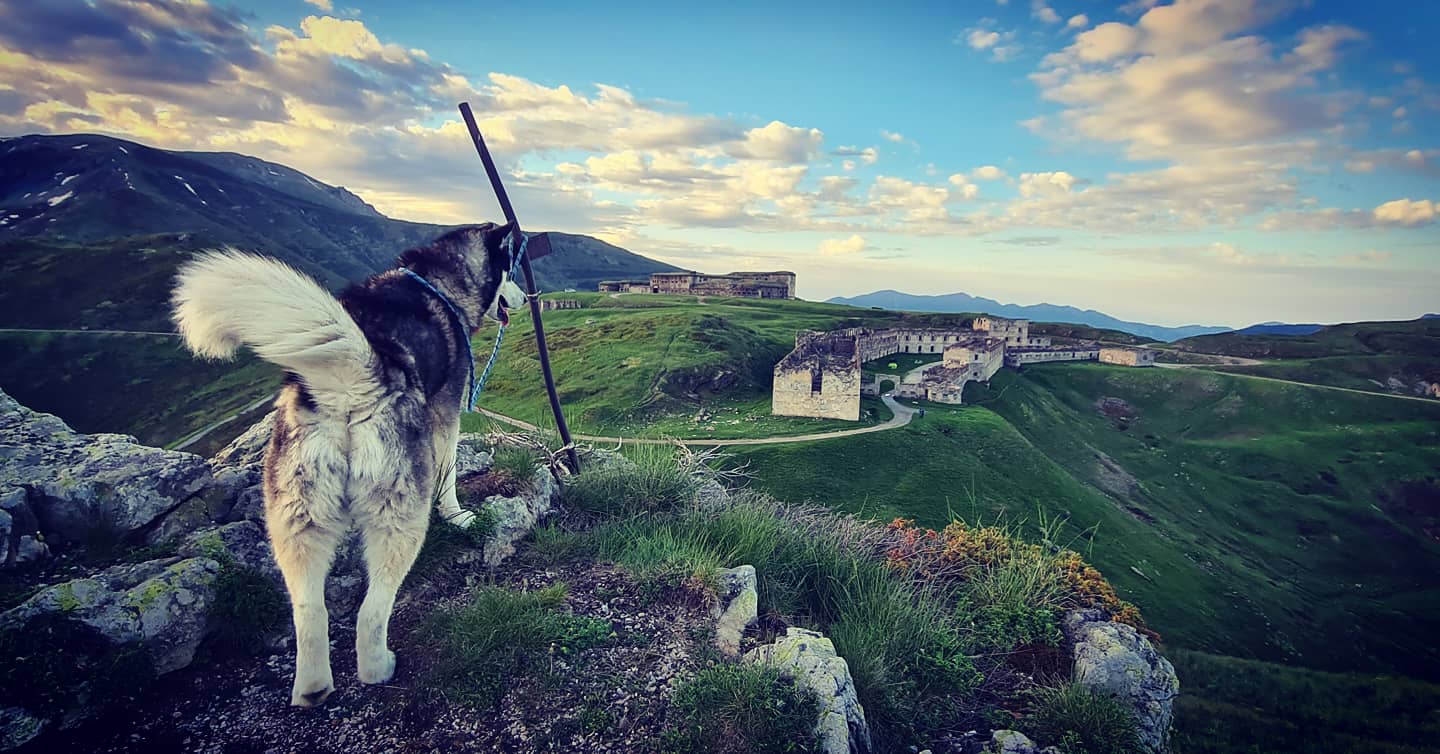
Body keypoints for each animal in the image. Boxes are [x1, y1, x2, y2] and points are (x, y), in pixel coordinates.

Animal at [172, 224, 527, 707]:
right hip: (399, 514)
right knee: (371, 609)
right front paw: (457, 515)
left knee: (310, 609)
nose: (527, 297)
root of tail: (350, 382)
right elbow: (449, 471)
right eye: (511, 270)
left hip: (295, 515)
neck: (441, 280)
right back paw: (378, 666)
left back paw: (312, 686)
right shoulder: (447, 410)